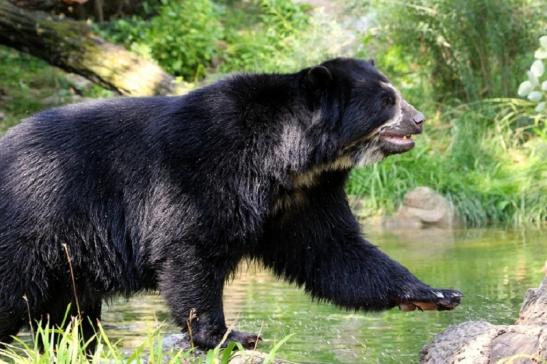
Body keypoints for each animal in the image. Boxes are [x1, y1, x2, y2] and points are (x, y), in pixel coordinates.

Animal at [0, 58, 462, 348]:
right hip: (33, 229)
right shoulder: (204, 169)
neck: (289, 162)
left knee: (70, 320)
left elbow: (331, 252)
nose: (419, 119)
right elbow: (190, 247)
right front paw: (229, 335)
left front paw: (435, 293)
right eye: (387, 101)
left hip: (67, 263)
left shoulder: (303, 197)